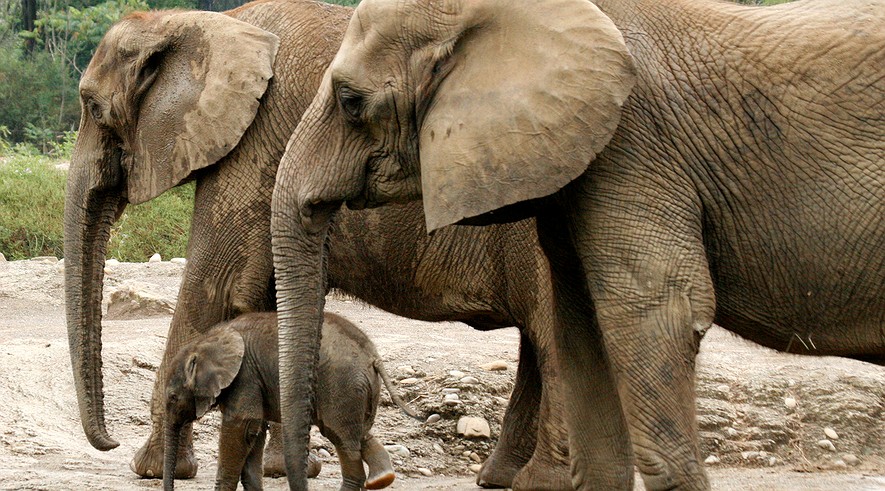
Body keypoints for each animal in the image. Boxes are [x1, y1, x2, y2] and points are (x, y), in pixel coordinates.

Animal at [163, 312, 412, 491]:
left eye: (173, 397)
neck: (206, 340)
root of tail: (373, 357)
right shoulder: (254, 380)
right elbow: (254, 433)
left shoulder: (246, 376)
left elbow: (241, 428)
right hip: (361, 389)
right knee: (358, 433)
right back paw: (382, 478)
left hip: (342, 385)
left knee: (341, 437)